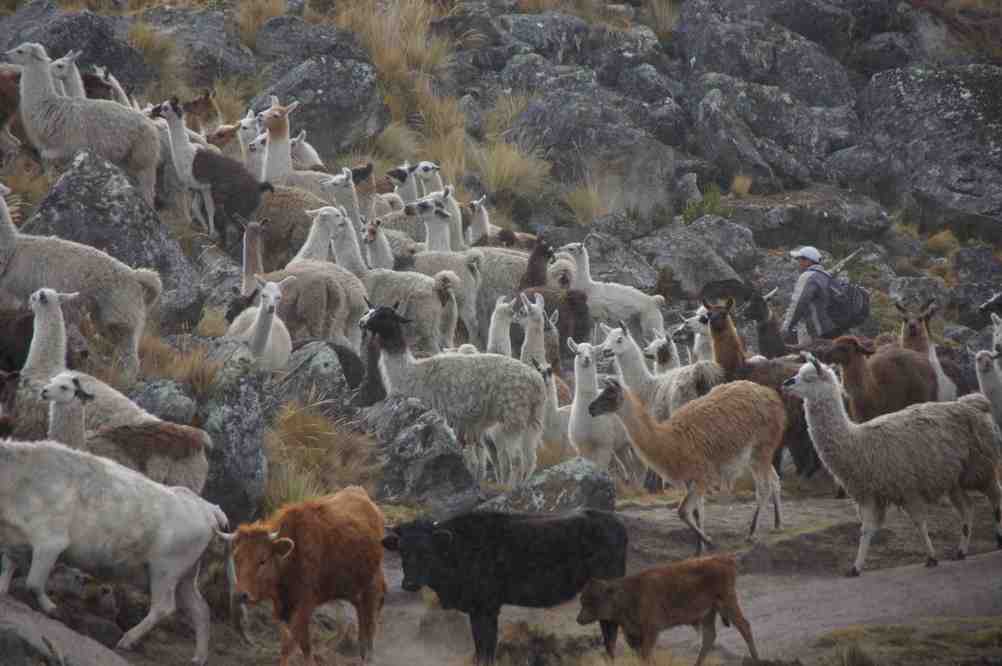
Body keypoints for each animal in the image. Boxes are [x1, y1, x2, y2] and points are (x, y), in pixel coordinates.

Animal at [221, 482, 384, 664]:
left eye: (262, 560)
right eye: (237, 558)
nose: (241, 595)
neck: (292, 557)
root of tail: (361, 494)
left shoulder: (304, 605)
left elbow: (301, 644)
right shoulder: (283, 608)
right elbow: (287, 644)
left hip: (371, 583)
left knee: (370, 619)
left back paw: (368, 655)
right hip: (352, 587)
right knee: (361, 613)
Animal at [380, 508, 625, 660]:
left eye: (427, 551)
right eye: (402, 549)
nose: (409, 583)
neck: (459, 546)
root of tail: (613, 521)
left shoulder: (485, 609)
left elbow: (486, 648)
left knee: (610, 628)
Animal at [577, 548, 753, 664]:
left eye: (594, 600)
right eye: (582, 600)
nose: (579, 619)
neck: (628, 594)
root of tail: (724, 559)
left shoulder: (651, 631)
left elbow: (647, 655)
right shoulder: (634, 636)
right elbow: (643, 656)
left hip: (727, 603)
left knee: (744, 626)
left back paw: (756, 658)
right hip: (708, 613)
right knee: (710, 637)